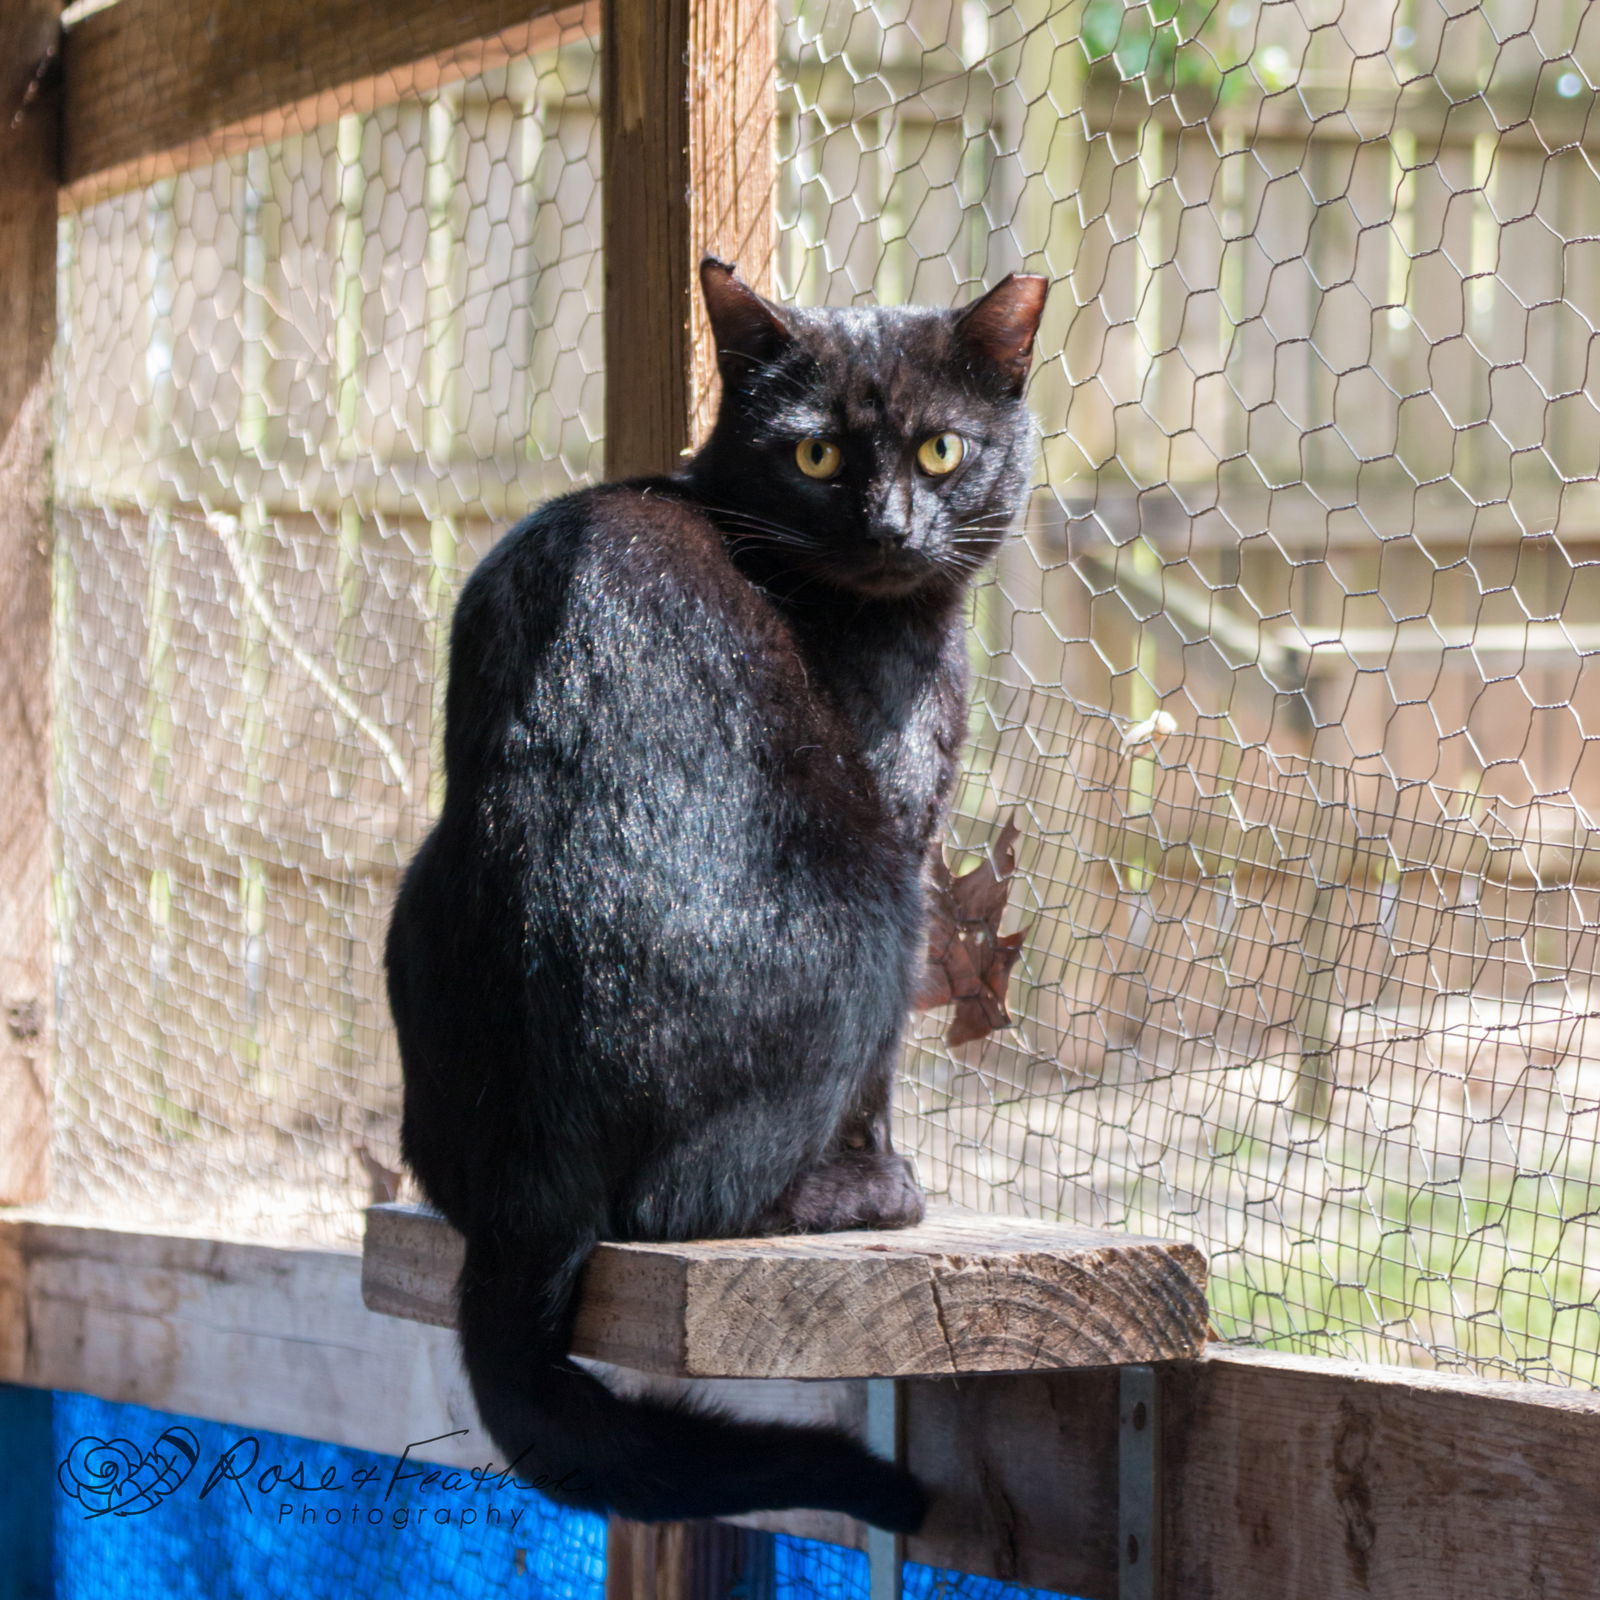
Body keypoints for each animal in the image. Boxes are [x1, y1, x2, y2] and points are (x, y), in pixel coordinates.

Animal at [380, 259, 1043, 1523]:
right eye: (816, 455)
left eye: (939, 450)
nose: (891, 524)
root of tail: (530, 1190)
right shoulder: (908, 830)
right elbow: (880, 1084)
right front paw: (883, 1168)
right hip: (875, 909)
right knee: (680, 1206)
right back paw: (860, 1197)